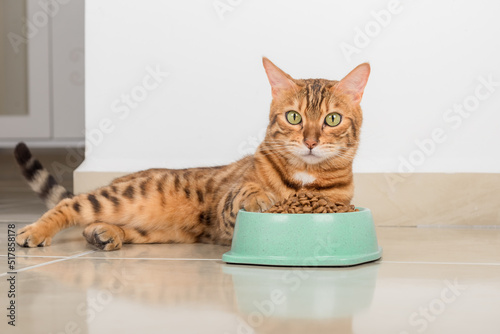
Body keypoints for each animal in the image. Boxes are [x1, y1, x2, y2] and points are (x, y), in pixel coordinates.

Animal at [13, 58, 370, 250]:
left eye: (332, 119)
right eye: (294, 117)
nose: (310, 141)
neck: (304, 177)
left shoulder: (339, 200)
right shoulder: (227, 205)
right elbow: (243, 192)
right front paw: (260, 197)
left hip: (158, 232)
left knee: (98, 224)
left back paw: (105, 233)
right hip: (126, 195)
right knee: (69, 205)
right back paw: (34, 232)